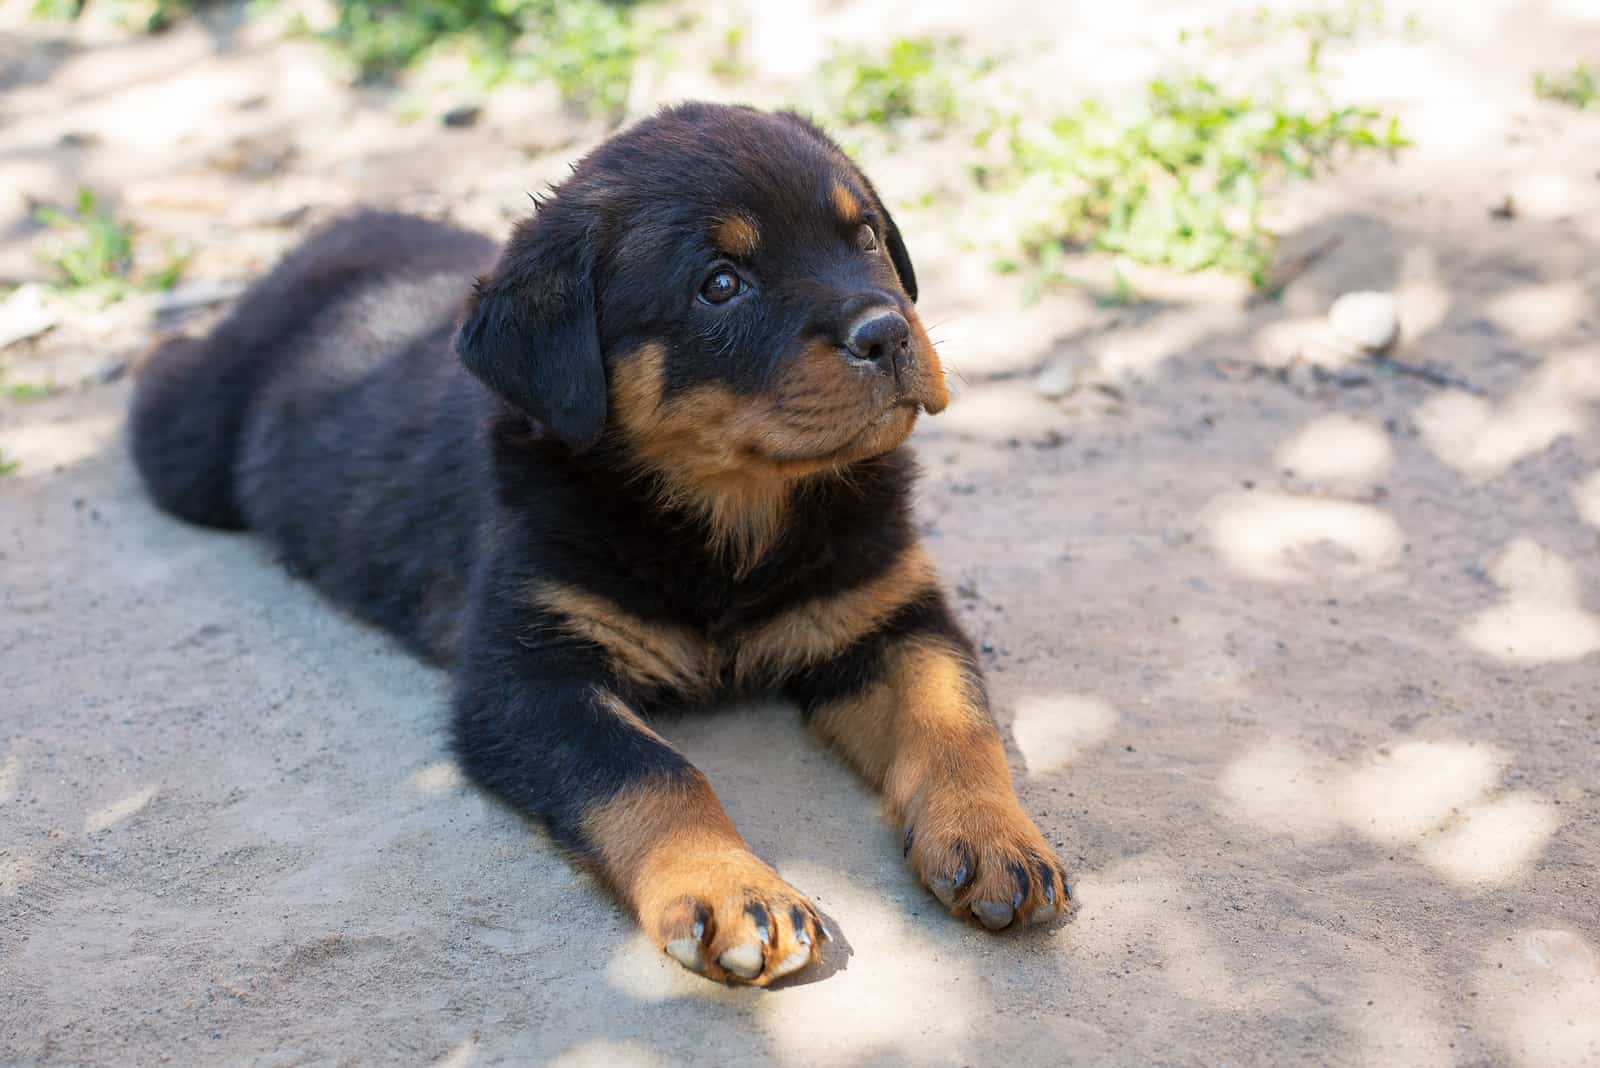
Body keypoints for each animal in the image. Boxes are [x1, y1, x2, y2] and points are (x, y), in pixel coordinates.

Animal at [131, 102, 1068, 984]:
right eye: (720, 284)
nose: (889, 332)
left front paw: (994, 836)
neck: (733, 520)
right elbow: (650, 770)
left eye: (865, 235)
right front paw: (732, 890)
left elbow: (953, 718)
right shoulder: (528, 675)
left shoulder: (886, 613)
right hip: (191, 452)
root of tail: (329, 233)